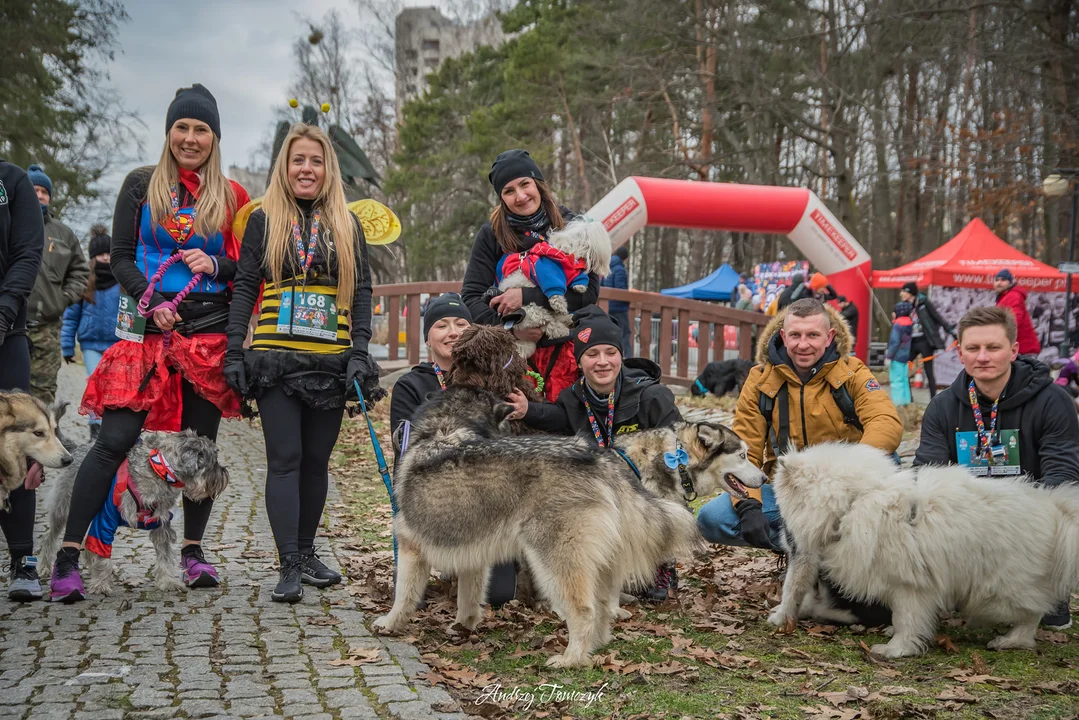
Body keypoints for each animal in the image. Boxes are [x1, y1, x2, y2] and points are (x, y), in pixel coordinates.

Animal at [39, 431, 229, 595]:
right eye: (213, 462)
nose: (225, 474)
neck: (161, 471)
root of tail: (79, 448)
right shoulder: (104, 521)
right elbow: (102, 553)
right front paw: (101, 584)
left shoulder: (161, 525)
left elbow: (165, 557)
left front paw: (167, 582)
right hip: (63, 509)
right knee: (50, 537)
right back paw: (45, 567)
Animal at [371, 390, 750, 669]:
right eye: (742, 455)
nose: (760, 478)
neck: (448, 428)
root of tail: (597, 459)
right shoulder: (473, 556)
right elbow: (468, 598)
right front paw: (463, 626)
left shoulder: (411, 547)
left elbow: (403, 595)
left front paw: (390, 624)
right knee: (599, 606)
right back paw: (595, 645)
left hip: (554, 561)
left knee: (583, 610)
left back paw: (571, 659)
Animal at [494, 216, 608, 358]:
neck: (566, 253)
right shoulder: (548, 270)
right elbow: (554, 291)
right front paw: (560, 304)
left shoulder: (574, 273)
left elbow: (579, 279)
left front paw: (580, 287)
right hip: (533, 311)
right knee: (549, 325)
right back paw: (563, 329)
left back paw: (567, 318)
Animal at [768, 440, 1079, 660]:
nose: (781, 535)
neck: (855, 500)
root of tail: (1053, 506)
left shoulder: (909, 585)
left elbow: (907, 619)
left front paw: (896, 649)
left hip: (995, 589)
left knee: (1032, 612)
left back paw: (1013, 640)